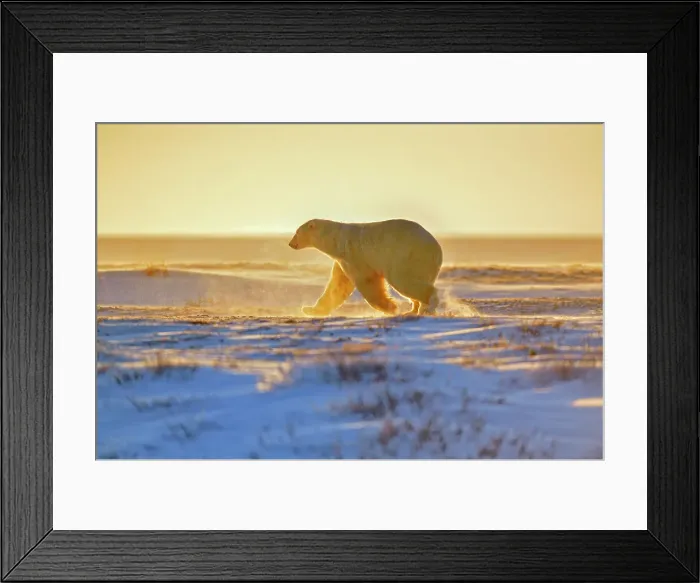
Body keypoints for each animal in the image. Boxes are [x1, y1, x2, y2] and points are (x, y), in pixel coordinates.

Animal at [288, 218, 443, 317]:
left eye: (297, 232)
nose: (290, 244)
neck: (337, 240)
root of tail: (436, 249)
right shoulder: (342, 261)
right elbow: (338, 286)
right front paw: (309, 310)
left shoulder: (355, 255)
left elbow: (368, 281)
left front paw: (391, 307)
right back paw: (412, 310)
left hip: (406, 256)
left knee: (403, 280)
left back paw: (427, 307)